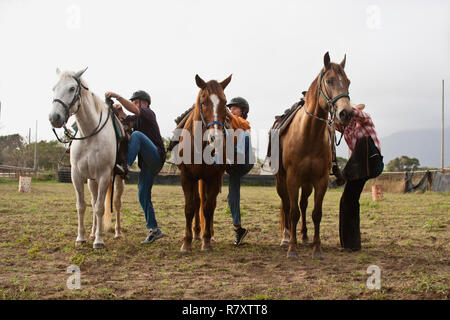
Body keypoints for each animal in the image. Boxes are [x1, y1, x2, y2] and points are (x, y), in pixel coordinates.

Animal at [48, 67, 125, 248]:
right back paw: (92, 232)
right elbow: (82, 206)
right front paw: (81, 238)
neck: (90, 134)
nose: (54, 118)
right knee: (94, 200)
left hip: (117, 179)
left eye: (71, 88)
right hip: (92, 181)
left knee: (116, 203)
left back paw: (117, 232)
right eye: (54, 88)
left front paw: (99, 241)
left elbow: (100, 208)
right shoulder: (77, 175)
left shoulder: (104, 176)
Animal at [178, 74, 232, 251]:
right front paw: (186, 242)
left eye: (225, 102)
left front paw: (206, 240)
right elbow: (190, 208)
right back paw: (196, 234)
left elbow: (208, 208)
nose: (215, 137)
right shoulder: (187, 176)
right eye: (203, 102)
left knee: (205, 203)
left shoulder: (214, 178)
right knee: (196, 202)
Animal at [276, 51, 354, 258]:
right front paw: (292, 248)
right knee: (287, 205)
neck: (309, 134)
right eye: (329, 81)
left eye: (348, 82)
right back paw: (286, 237)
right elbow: (293, 212)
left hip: (307, 183)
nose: (346, 113)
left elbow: (316, 213)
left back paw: (304, 236)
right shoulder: (292, 178)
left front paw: (317, 248)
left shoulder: (320, 180)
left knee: (303, 204)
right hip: (282, 181)